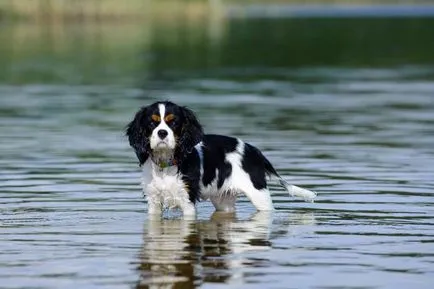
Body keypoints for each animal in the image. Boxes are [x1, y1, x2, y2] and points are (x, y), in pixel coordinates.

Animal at [125, 101, 316, 216]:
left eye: (174, 123)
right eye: (152, 123)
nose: (162, 133)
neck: (165, 164)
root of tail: (253, 150)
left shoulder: (187, 201)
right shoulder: (153, 202)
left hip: (260, 196)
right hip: (224, 201)